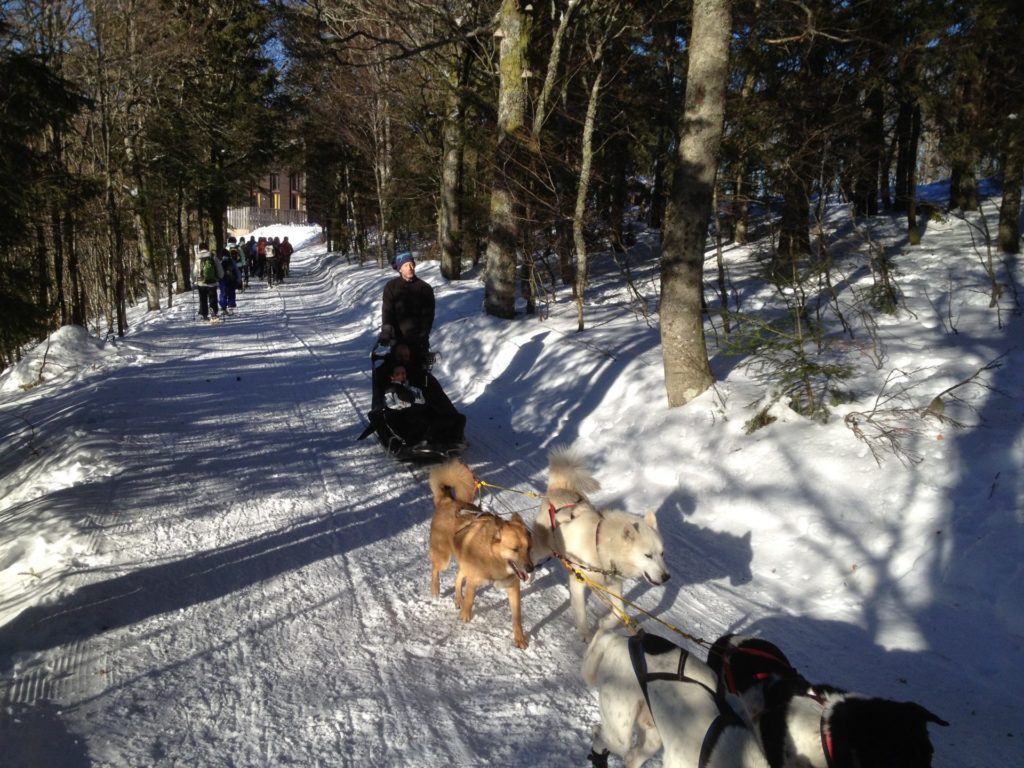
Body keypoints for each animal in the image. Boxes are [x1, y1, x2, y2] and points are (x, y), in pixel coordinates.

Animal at [428, 462, 536, 651]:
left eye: (529, 548)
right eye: (515, 549)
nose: (531, 568)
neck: (493, 558)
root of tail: (448, 500)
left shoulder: (513, 588)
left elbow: (517, 617)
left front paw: (519, 638)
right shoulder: (474, 580)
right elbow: (471, 598)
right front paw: (465, 615)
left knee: (458, 578)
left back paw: (458, 598)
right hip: (444, 558)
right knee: (435, 568)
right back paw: (436, 589)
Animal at [528, 448, 671, 638]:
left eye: (662, 553)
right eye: (648, 555)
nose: (666, 577)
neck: (599, 546)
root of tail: (560, 487)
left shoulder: (614, 584)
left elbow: (619, 612)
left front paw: (605, 623)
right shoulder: (578, 580)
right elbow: (581, 614)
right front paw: (586, 637)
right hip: (543, 546)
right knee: (531, 555)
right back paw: (528, 574)